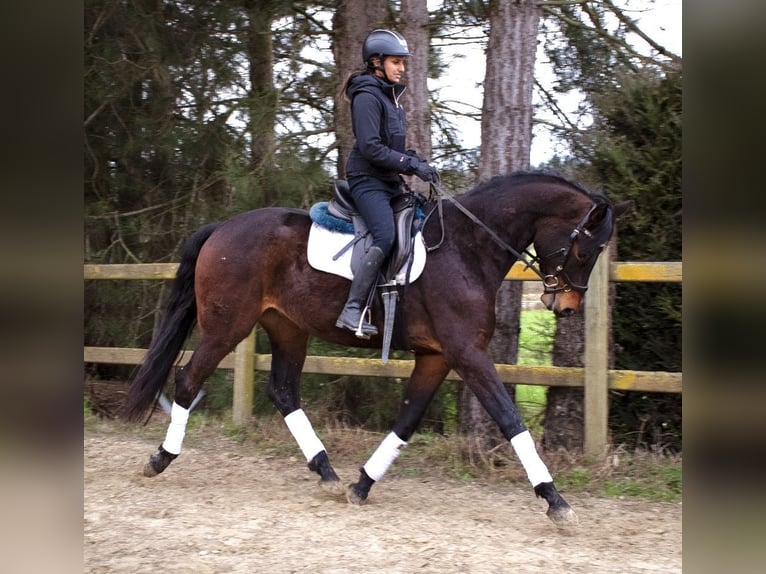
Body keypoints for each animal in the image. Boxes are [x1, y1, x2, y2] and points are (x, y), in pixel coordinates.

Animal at [123, 172, 632, 532]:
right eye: (586, 249)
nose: (565, 306)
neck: (468, 248)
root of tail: (222, 228)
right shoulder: (467, 353)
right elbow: (510, 421)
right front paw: (555, 500)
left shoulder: (438, 356)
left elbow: (406, 420)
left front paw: (361, 484)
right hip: (227, 325)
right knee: (189, 380)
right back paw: (160, 459)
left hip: (288, 328)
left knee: (283, 391)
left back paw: (327, 472)